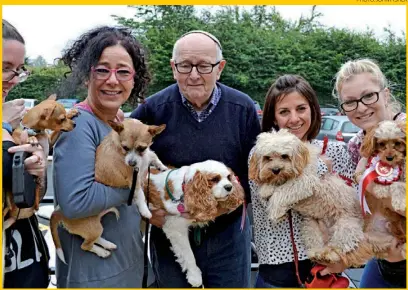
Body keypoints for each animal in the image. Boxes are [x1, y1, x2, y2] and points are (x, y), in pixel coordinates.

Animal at [249, 130, 372, 268]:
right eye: (267, 158)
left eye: (284, 156)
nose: (276, 170)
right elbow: (274, 184)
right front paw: (266, 188)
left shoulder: (305, 181)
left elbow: (282, 191)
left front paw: (276, 211)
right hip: (310, 226)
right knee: (317, 244)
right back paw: (317, 253)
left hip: (346, 226)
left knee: (340, 247)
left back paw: (329, 255)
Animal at [354, 119, 404, 260]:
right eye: (381, 144)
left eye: (398, 143)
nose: (389, 158)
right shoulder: (363, 172)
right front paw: (381, 189)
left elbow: (397, 184)